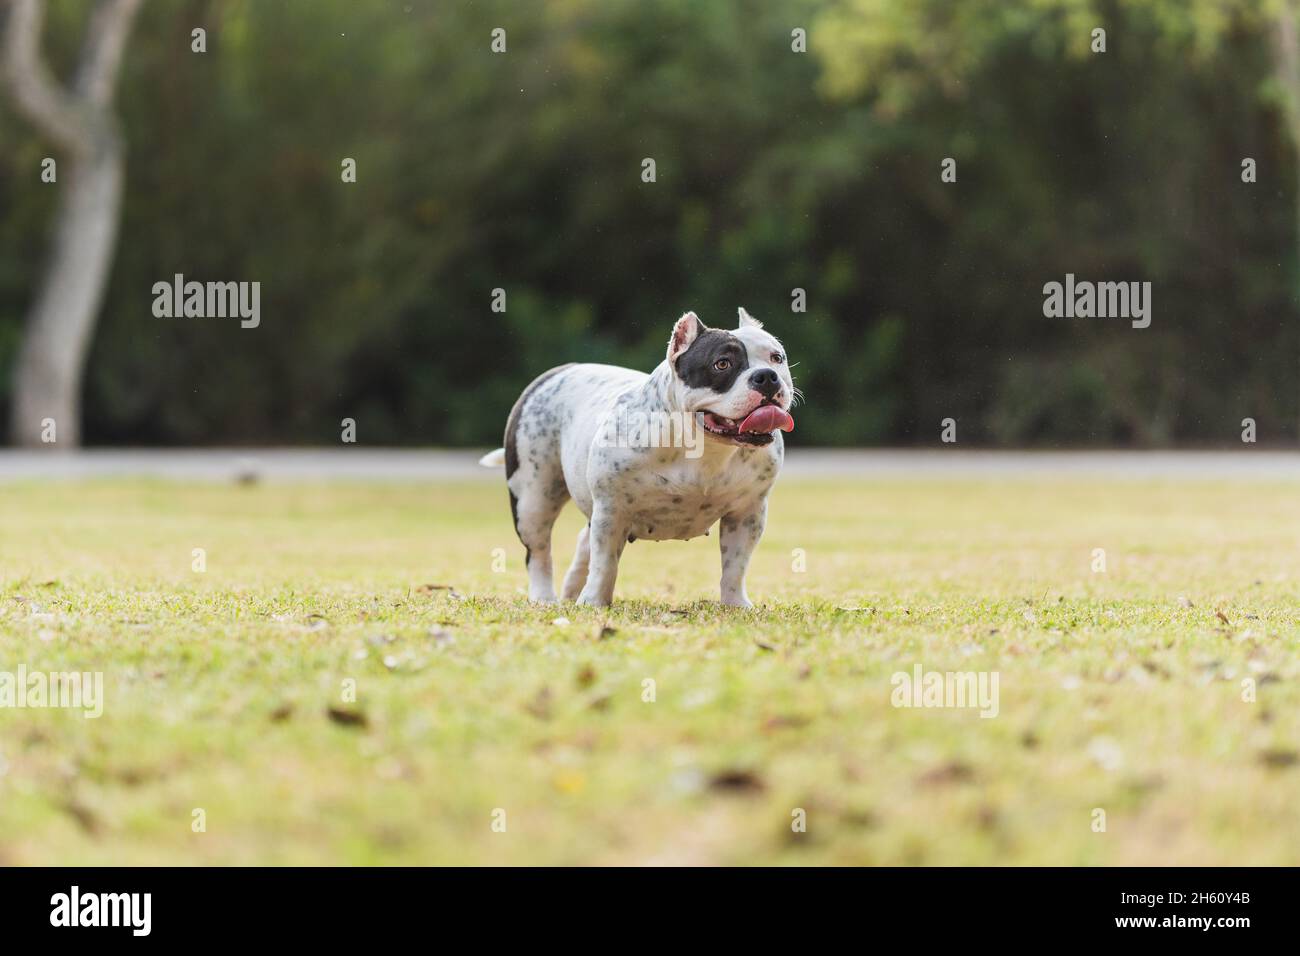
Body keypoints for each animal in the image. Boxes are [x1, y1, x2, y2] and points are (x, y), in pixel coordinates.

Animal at [483, 308, 795, 606]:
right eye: (722, 364)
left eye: (777, 358)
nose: (766, 376)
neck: (704, 446)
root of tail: (556, 373)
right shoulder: (612, 510)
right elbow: (605, 563)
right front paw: (594, 602)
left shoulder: (746, 513)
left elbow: (735, 565)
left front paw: (735, 604)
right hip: (533, 499)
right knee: (539, 552)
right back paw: (544, 598)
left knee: (583, 541)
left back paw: (571, 590)